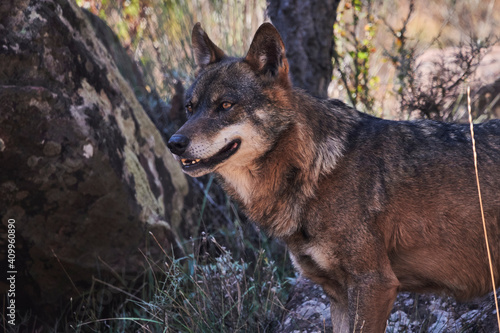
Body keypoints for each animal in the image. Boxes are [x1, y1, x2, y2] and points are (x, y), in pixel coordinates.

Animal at [168, 22, 500, 330]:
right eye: (190, 107)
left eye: (225, 105)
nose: (174, 143)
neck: (314, 169)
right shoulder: (337, 293)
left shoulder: (375, 284)